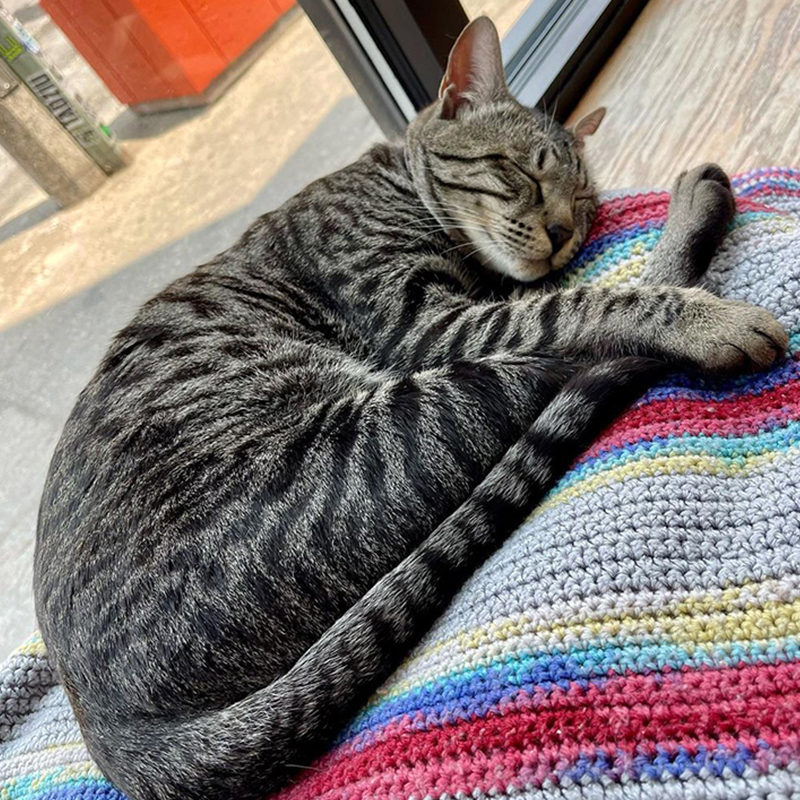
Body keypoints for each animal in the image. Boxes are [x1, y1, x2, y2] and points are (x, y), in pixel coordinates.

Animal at [32, 14, 788, 800]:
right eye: (524, 172)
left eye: (581, 209)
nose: (561, 235)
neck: (396, 176)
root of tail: (116, 734)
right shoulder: (426, 321)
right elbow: (588, 302)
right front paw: (700, 316)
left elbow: (567, 295)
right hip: (409, 424)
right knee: (574, 357)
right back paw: (698, 219)